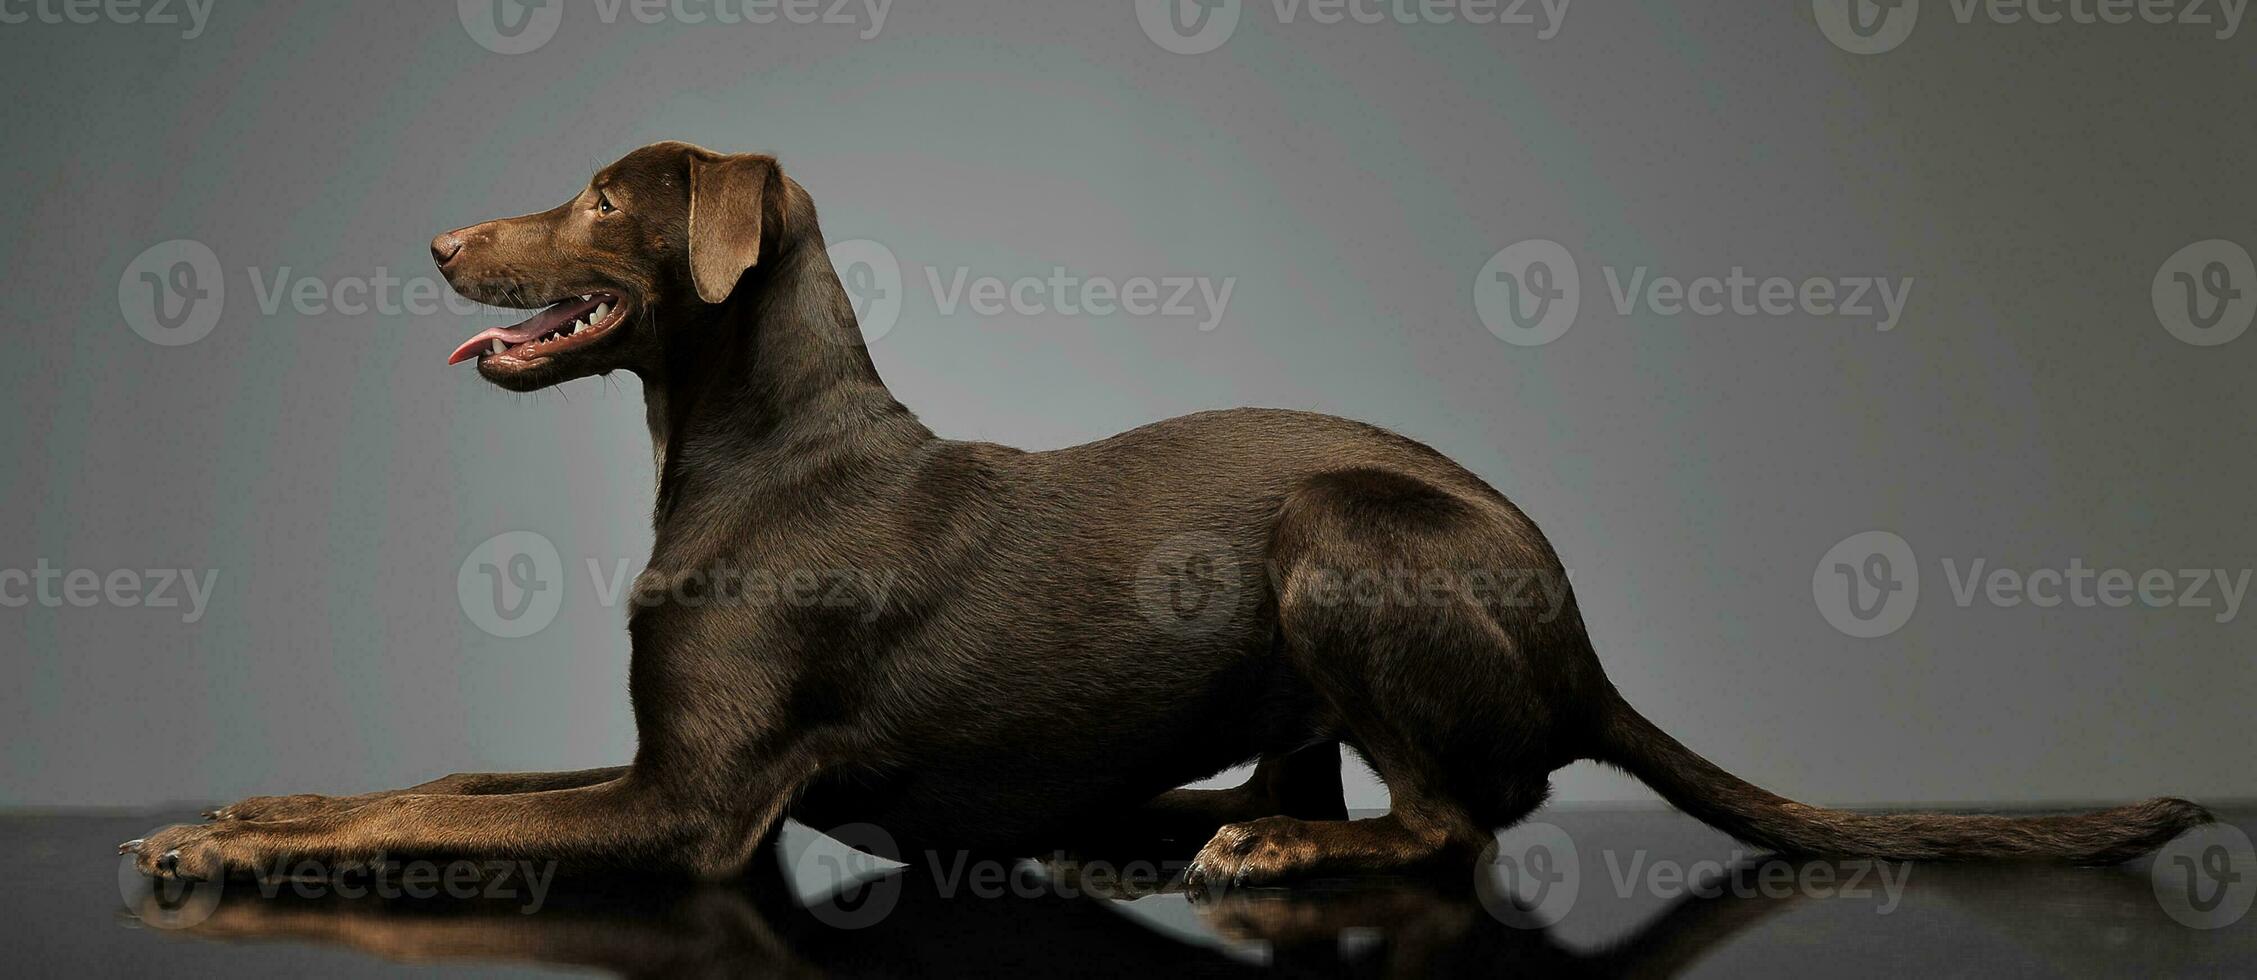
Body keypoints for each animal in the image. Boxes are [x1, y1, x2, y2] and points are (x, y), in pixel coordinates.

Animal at [119, 143, 2202, 889]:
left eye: (600, 200)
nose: (430, 241)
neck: (757, 451)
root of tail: (1584, 639)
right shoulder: (645, 755)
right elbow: (440, 774)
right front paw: (247, 806)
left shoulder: (692, 809)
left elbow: (431, 823)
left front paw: (232, 851)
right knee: (1339, 775)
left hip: (1346, 534)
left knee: (1462, 813)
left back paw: (1279, 854)